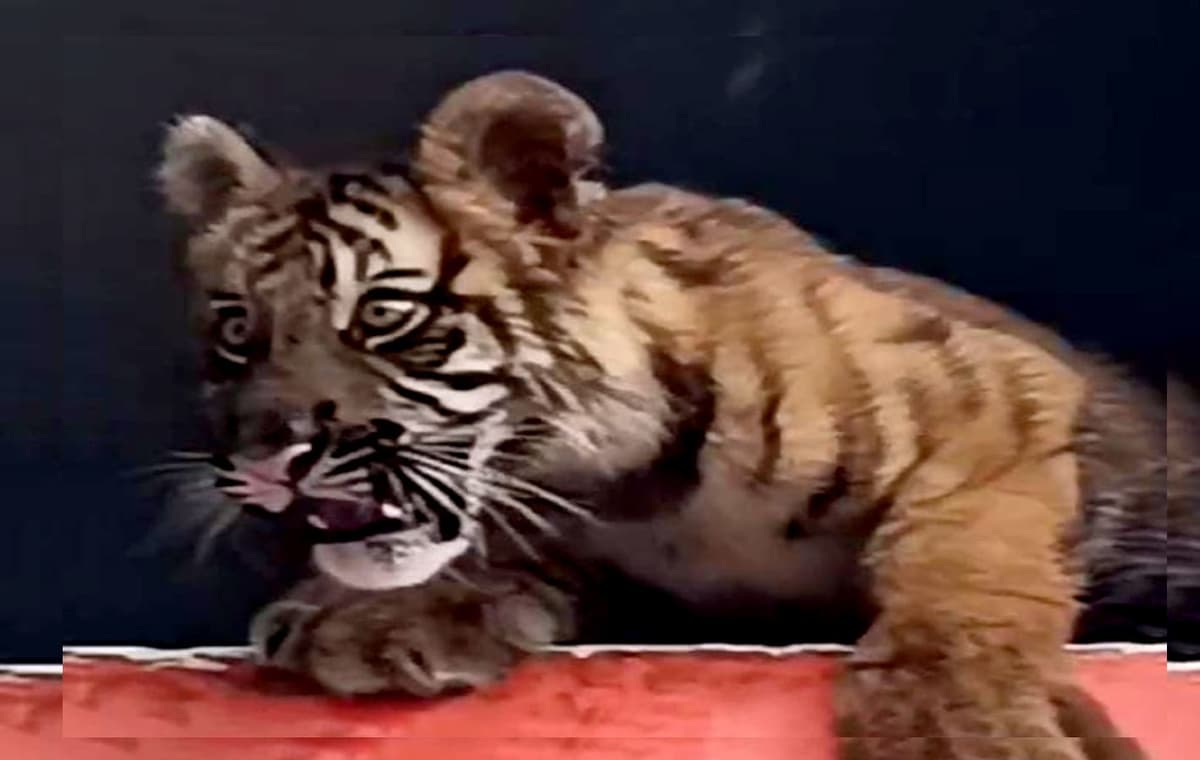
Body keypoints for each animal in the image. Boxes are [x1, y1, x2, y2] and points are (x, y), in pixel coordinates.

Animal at [155, 70, 1195, 759]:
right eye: (238, 330)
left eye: (380, 315)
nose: (264, 459)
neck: (633, 488)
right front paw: (379, 619)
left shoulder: (997, 397)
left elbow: (963, 565)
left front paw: (959, 723)